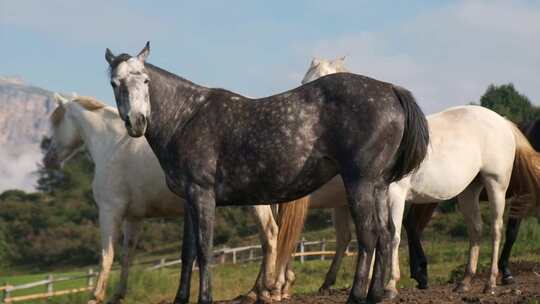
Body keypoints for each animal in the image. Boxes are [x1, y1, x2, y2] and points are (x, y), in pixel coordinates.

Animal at [43, 94, 306, 302]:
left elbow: (106, 255)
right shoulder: (134, 218)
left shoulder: (110, 212)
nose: (48, 160)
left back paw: (264, 292)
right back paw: (261, 290)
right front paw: (118, 295)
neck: (114, 145)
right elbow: (127, 256)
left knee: (270, 235)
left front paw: (96, 296)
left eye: (56, 122)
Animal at [103, 42, 428, 304]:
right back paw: (376, 294)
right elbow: (188, 252)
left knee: (369, 234)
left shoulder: (202, 194)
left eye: (145, 80)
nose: (137, 122)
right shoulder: (188, 200)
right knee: (386, 234)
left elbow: (205, 251)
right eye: (115, 83)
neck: (186, 117)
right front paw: (181, 299)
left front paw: (205, 297)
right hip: (378, 185)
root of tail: (391, 90)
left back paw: (356, 295)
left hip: (359, 182)